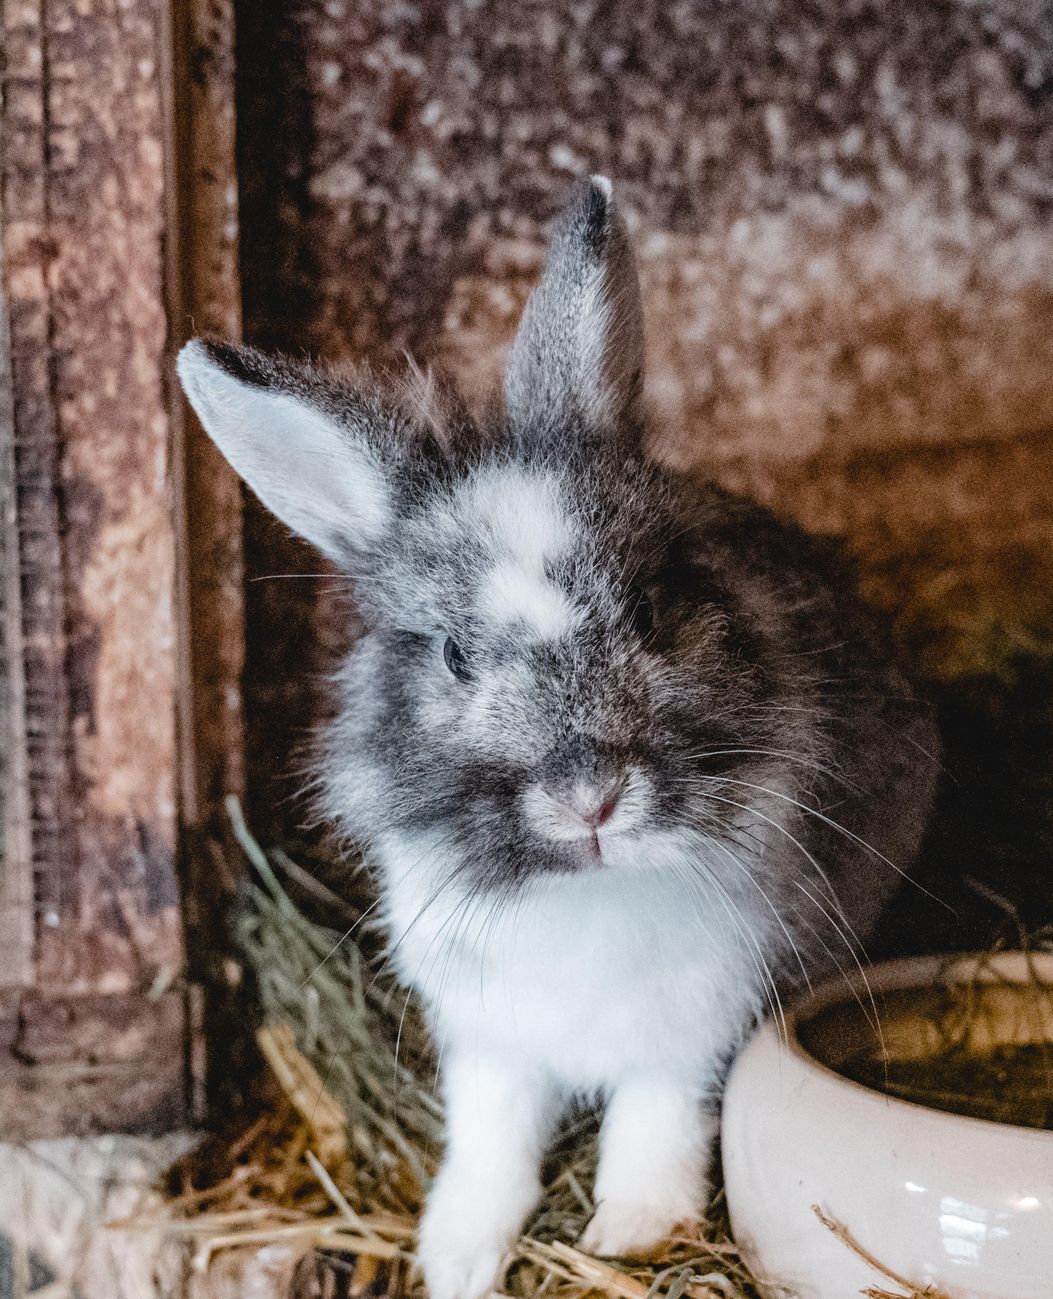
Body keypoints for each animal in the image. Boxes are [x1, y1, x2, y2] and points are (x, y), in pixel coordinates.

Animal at [178, 176, 939, 1299]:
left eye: (652, 610)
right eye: (455, 654)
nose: (591, 798)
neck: (586, 890)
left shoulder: (686, 1037)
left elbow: (654, 1127)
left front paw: (635, 1234)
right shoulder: (490, 1044)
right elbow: (491, 1141)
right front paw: (456, 1254)